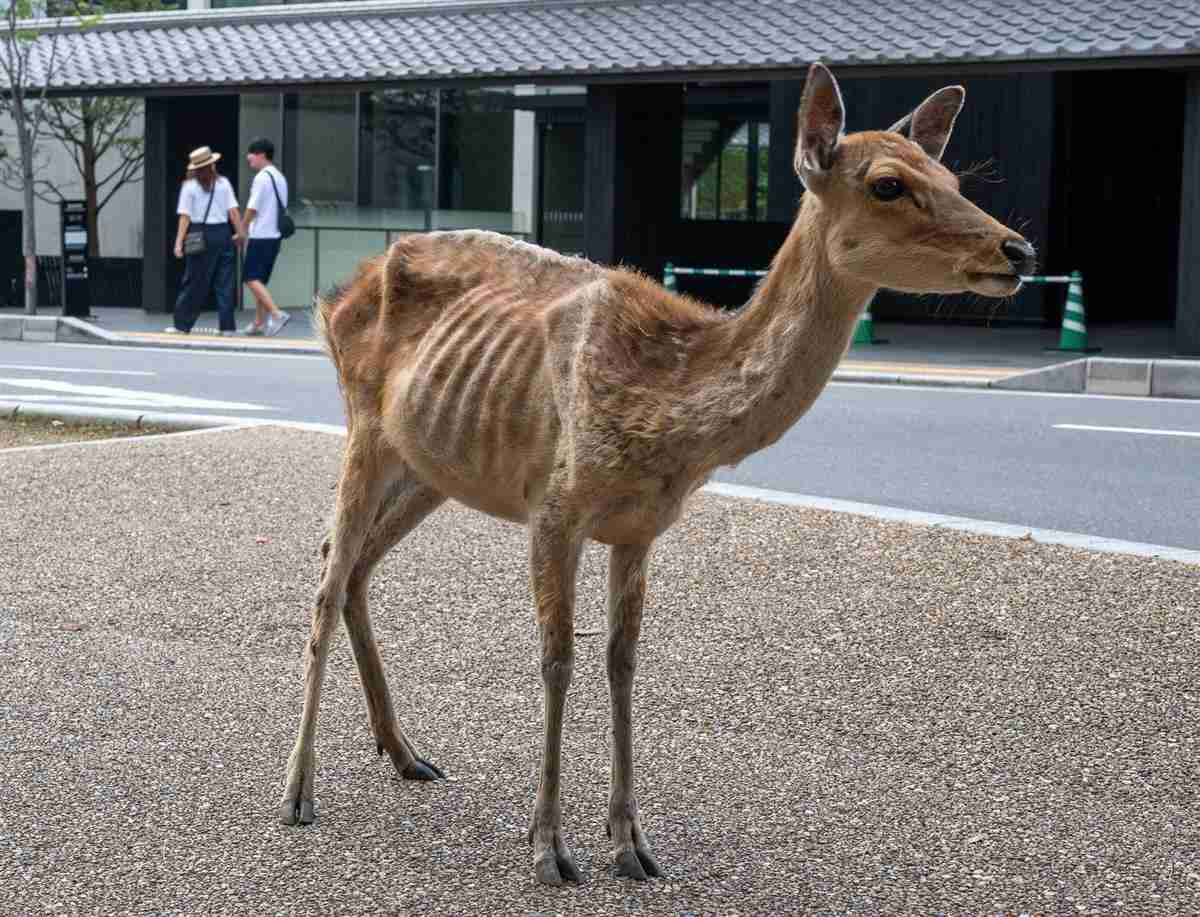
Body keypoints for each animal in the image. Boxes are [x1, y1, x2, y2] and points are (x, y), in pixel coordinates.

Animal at [278, 62, 1037, 886]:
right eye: (889, 184)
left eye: (953, 175)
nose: (1019, 249)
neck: (669, 422)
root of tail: (334, 296)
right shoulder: (555, 506)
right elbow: (557, 657)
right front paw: (549, 848)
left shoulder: (641, 528)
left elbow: (623, 661)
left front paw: (631, 843)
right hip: (364, 424)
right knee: (327, 575)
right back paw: (297, 791)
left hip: (433, 464)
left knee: (355, 564)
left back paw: (405, 752)